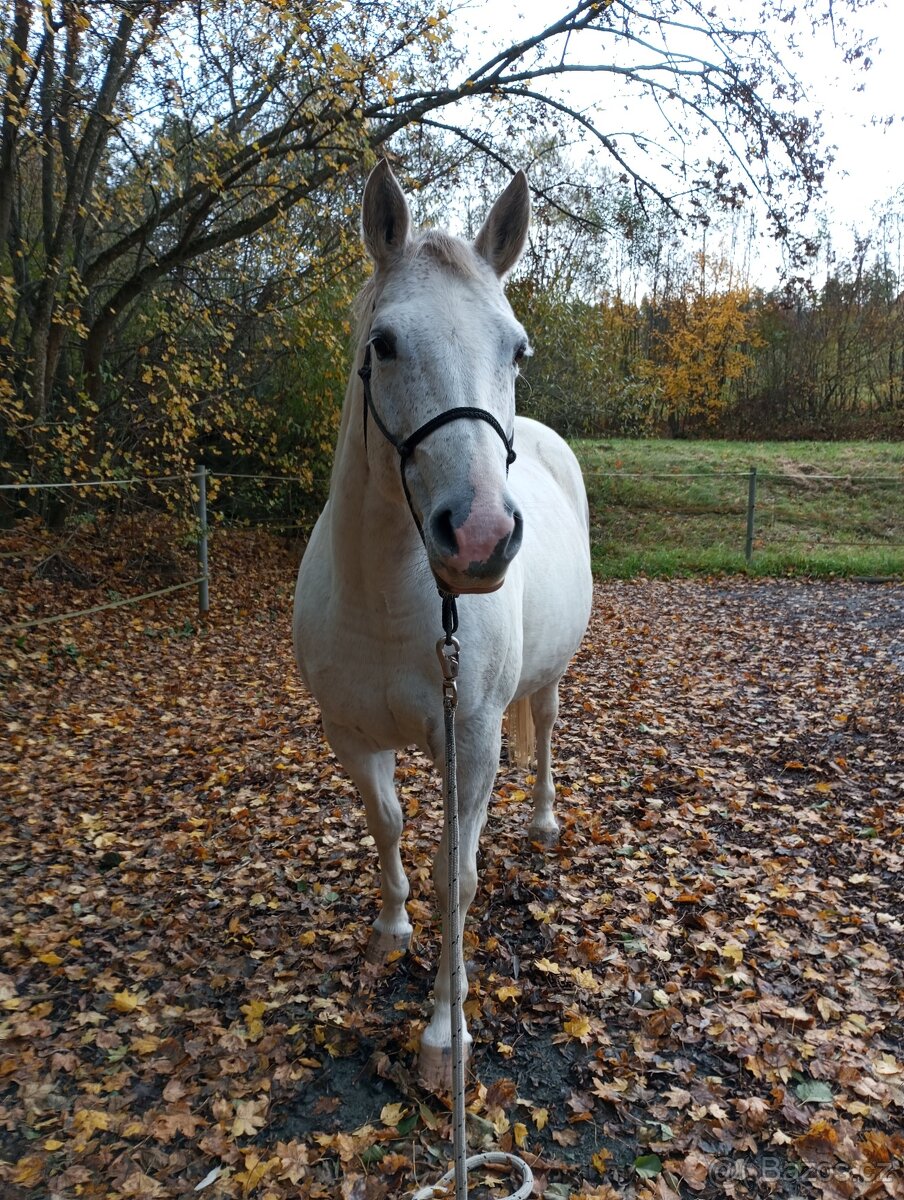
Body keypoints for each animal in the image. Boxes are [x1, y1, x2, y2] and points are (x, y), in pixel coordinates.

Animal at [293, 160, 593, 1089]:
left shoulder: (474, 744)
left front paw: (442, 1032)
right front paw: (391, 932)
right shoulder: (352, 736)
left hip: (550, 683)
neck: (392, 600)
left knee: (549, 731)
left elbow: (453, 876)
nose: (481, 536)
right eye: (384, 343)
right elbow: (388, 826)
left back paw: (543, 822)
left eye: (516, 349)